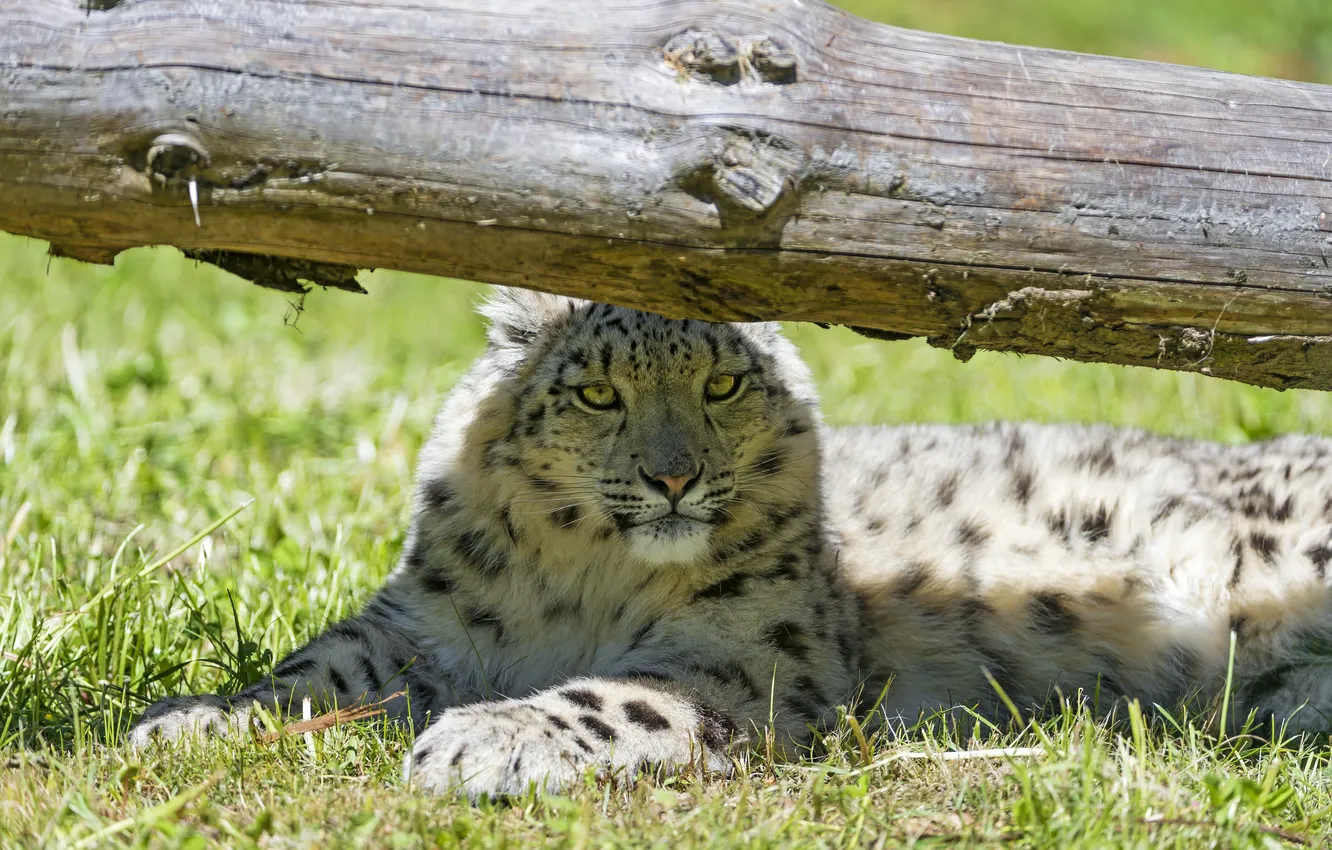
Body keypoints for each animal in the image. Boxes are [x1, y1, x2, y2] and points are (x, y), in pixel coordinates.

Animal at [129, 286, 1332, 798]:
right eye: (599, 392)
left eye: (720, 385)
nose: (674, 476)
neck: (587, 581)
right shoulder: (420, 623)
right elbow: (318, 670)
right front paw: (190, 723)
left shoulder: (749, 660)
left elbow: (614, 697)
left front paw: (480, 740)